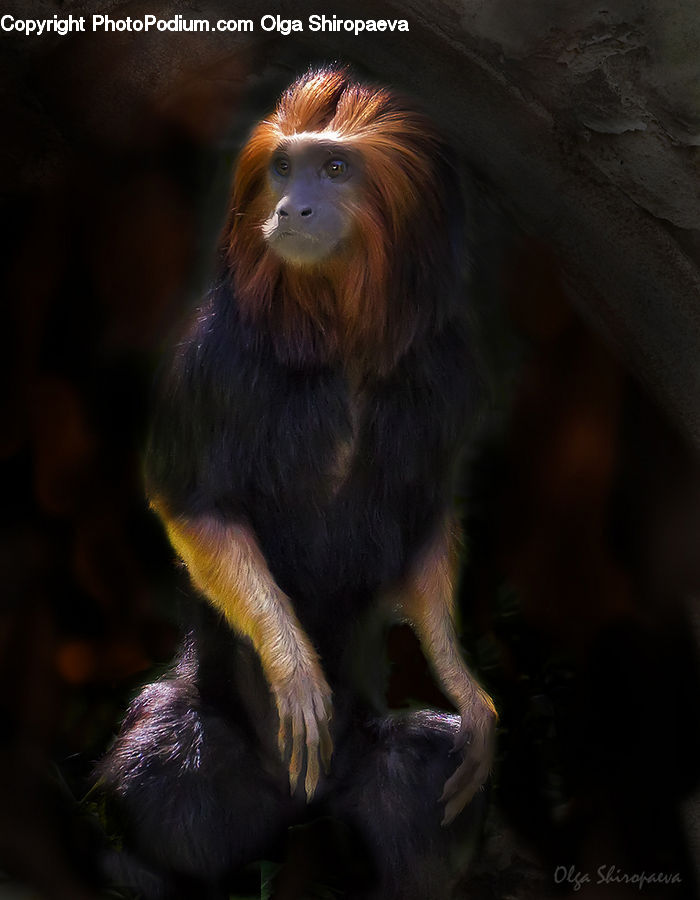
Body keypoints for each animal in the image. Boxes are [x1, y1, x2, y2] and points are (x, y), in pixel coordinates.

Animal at [97, 67, 496, 900]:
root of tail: (297, 810)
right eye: (285, 168)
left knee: (418, 776)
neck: (343, 337)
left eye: (335, 169)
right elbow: (194, 508)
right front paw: (295, 667)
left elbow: (426, 528)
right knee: (168, 754)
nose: (291, 208)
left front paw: (466, 688)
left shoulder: (449, 364)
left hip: (356, 761)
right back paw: (138, 869)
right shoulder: (212, 354)